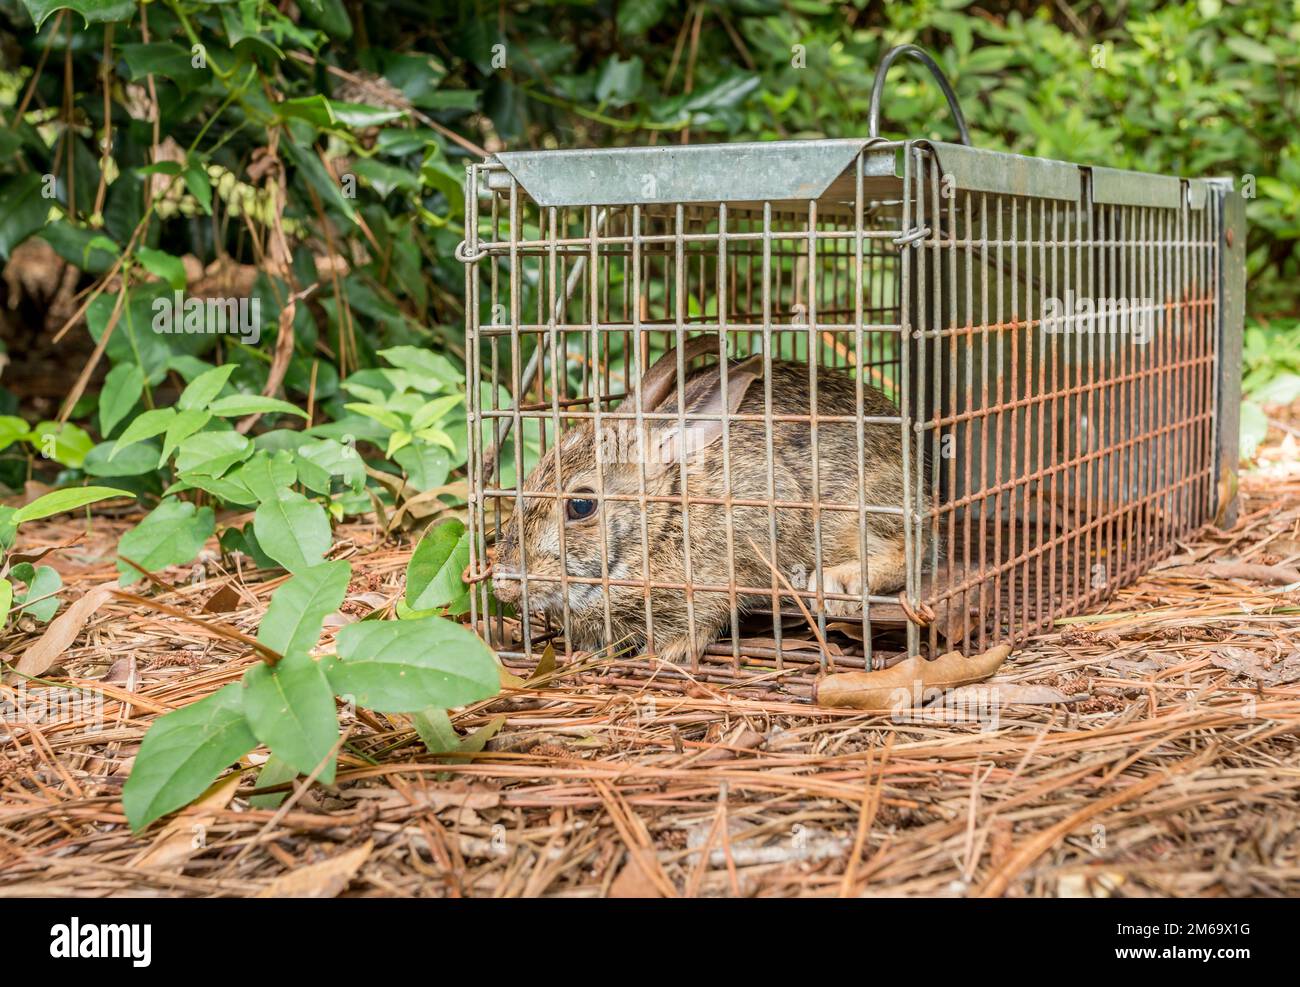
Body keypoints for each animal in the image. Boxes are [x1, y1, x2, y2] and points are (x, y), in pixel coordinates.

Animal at [491, 335, 920, 665]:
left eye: (581, 506)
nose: (504, 585)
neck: (663, 521)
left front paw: (673, 652)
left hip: (855, 513)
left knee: (908, 551)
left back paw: (838, 586)